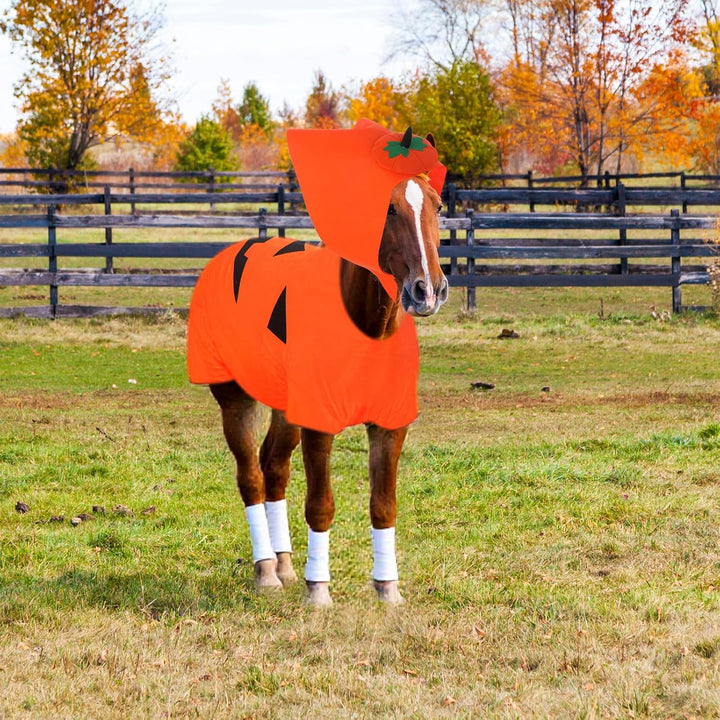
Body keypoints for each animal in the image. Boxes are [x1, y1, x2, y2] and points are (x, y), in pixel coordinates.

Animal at [187, 136, 447, 607]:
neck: (365, 329)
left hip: (286, 409)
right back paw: (266, 570)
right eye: (387, 208)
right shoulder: (319, 425)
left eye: (437, 206)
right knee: (251, 476)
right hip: (235, 401)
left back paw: (285, 563)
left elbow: (384, 505)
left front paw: (388, 589)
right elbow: (321, 505)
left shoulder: (390, 425)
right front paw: (319, 590)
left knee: (274, 469)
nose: (428, 290)